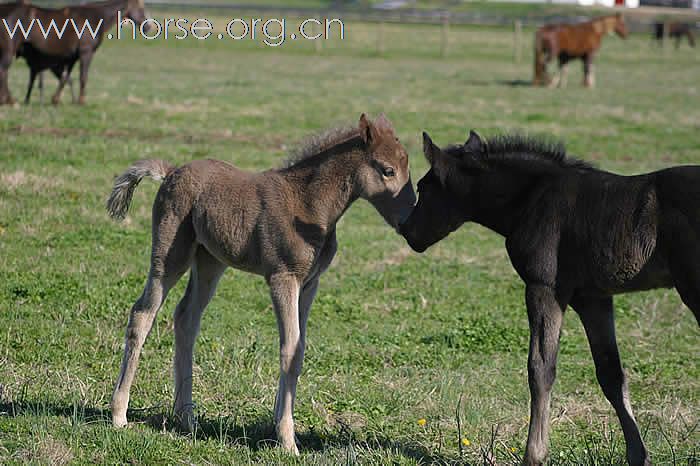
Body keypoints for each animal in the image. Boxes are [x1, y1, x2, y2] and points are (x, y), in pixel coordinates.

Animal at [400, 130, 700, 466]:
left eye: (422, 187)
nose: (406, 230)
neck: (530, 198)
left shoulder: (544, 287)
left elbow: (541, 368)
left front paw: (534, 453)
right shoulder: (592, 298)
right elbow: (610, 373)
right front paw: (638, 455)